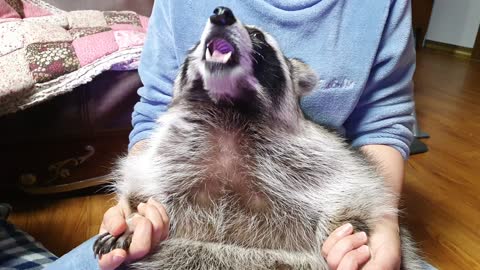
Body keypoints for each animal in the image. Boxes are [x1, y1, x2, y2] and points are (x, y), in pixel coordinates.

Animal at [94, 6, 424, 270]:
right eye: (197, 43)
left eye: (257, 36)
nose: (220, 13)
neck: (229, 108)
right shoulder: (171, 153)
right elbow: (142, 183)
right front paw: (137, 221)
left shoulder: (324, 154)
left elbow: (358, 189)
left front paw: (346, 236)